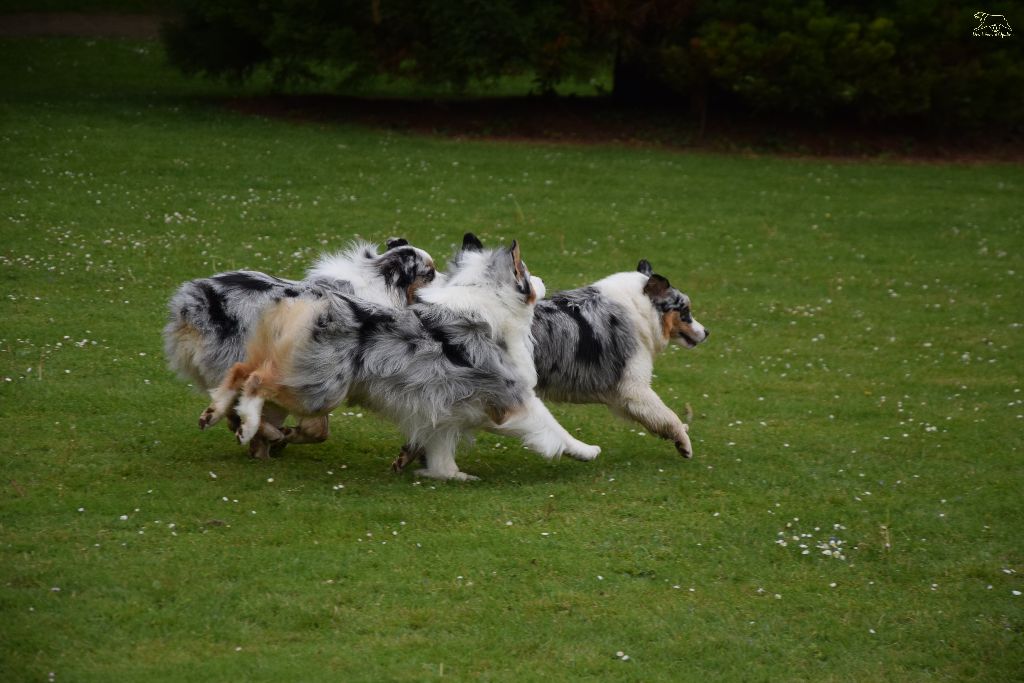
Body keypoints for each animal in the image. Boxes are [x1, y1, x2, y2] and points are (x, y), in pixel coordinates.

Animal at [195, 235, 602, 481]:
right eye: (527, 273)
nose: (545, 282)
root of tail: (304, 300)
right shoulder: (511, 395)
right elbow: (552, 426)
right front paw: (585, 450)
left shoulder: (443, 406)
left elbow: (440, 450)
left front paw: (451, 475)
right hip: (318, 390)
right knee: (255, 380)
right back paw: (247, 423)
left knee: (240, 370)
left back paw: (215, 414)